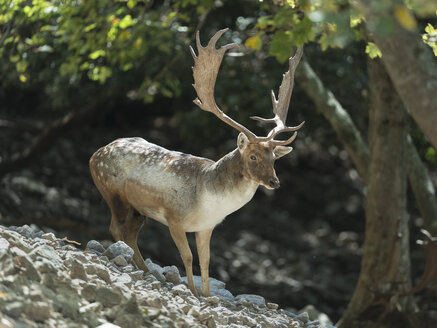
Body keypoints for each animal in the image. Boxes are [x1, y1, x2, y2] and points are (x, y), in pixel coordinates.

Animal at [89, 28, 304, 298]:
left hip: (138, 209)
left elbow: (206, 261)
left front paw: (208, 295)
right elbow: (187, 256)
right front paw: (191, 290)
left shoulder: (206, 227)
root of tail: (94, 154)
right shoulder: (174, 218)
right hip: (112, 192)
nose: (275, 182)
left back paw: (146, 270)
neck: (207, 200)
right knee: (116, 228)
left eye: (274, 158)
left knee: (129, 234)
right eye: (253, 156)